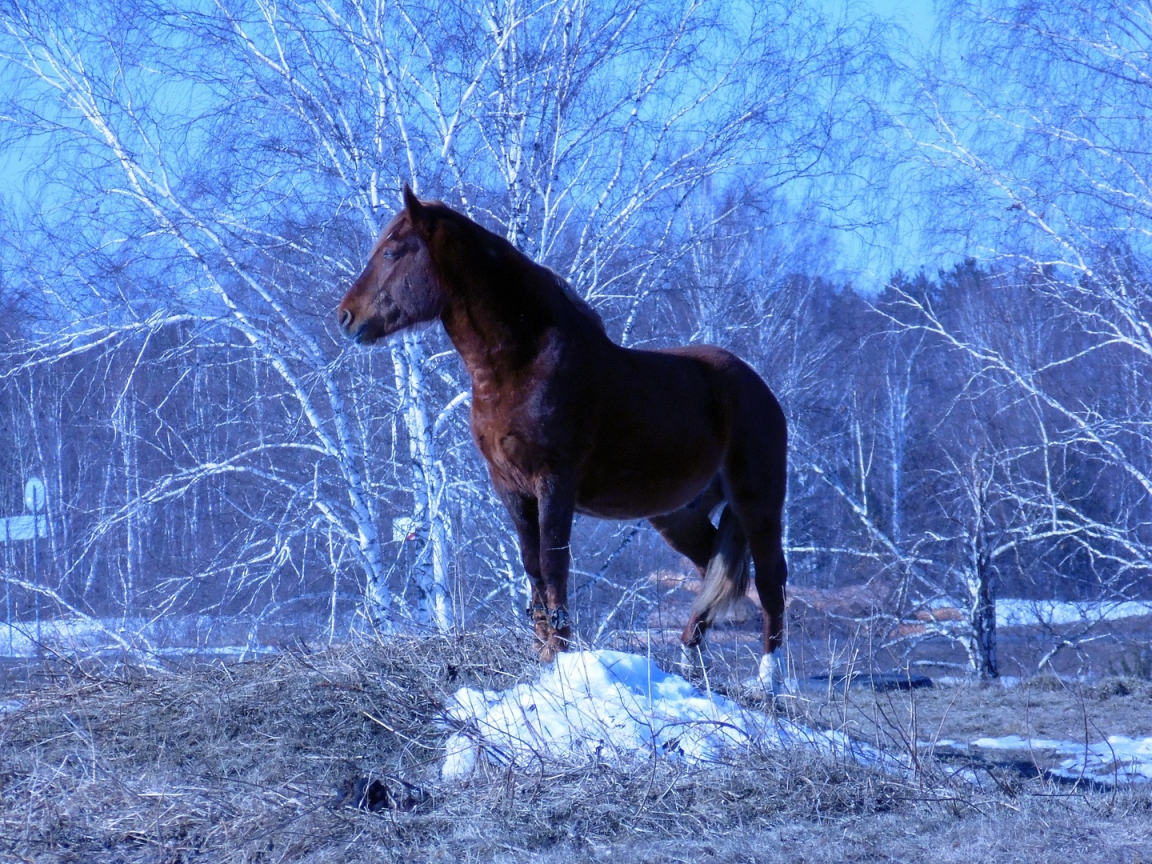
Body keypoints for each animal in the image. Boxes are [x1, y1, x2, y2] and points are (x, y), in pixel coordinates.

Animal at [336, 186, 792, 695]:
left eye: (392, 252)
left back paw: (768, 679)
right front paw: (541, 655)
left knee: (770, 579)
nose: (346, 317)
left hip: (757, 499)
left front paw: (558, 657)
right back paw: (692, 665)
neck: (523, 365)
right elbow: (533, 569)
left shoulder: (554, 483)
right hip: (678, 515)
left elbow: (554, 568)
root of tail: (757, 387)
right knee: (711, 567)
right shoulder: (510, 488)